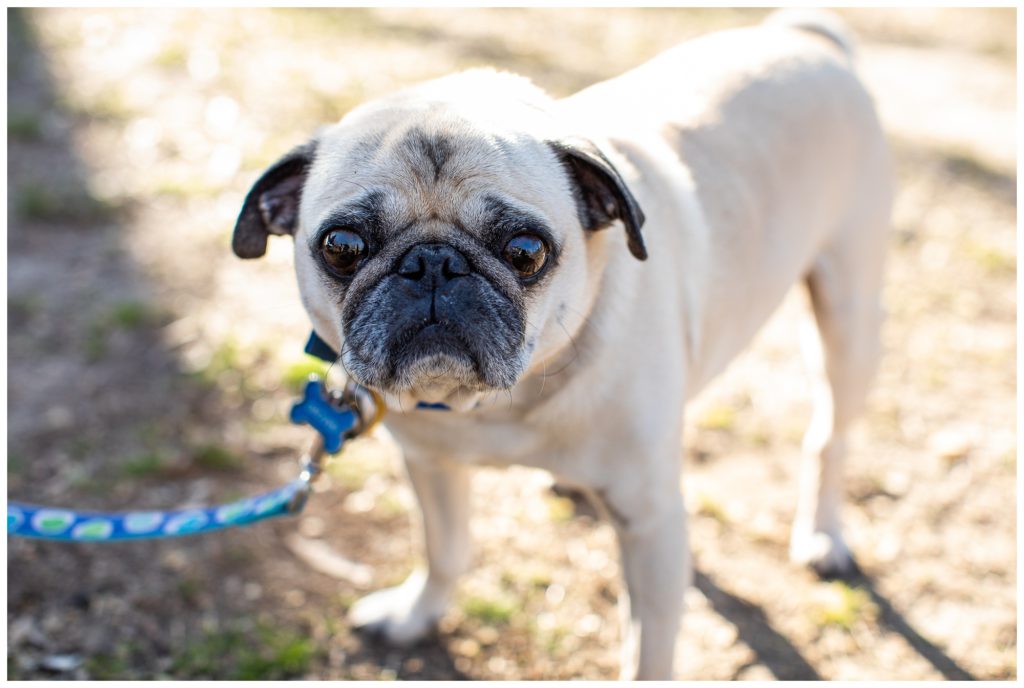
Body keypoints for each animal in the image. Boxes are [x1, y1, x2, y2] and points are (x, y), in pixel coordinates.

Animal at [230, 12, 888, 683]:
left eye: (526, 252)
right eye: (342, 246)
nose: (433, 264)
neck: (497, 404)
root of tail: (804, 33)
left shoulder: (652, 524)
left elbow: (648, 652)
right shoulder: (430, 465)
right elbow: (445, 550)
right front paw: (416, 616)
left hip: (848, 318)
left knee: (829, 434)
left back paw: (822, 537)